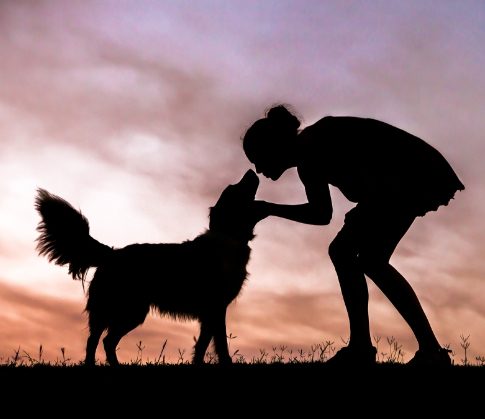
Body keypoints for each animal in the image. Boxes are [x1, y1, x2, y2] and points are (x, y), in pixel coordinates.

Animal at [35, 171, 260, 368]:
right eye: (235, 188)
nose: (251, 171)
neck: (229, 236)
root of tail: (112, 253)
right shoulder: (216, 307)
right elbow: (221, 343)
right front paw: (226, 363)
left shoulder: (210, 312)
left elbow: (203, 344)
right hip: (123, 309)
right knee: (96, 340)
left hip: (130, 311)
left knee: (106, 340)